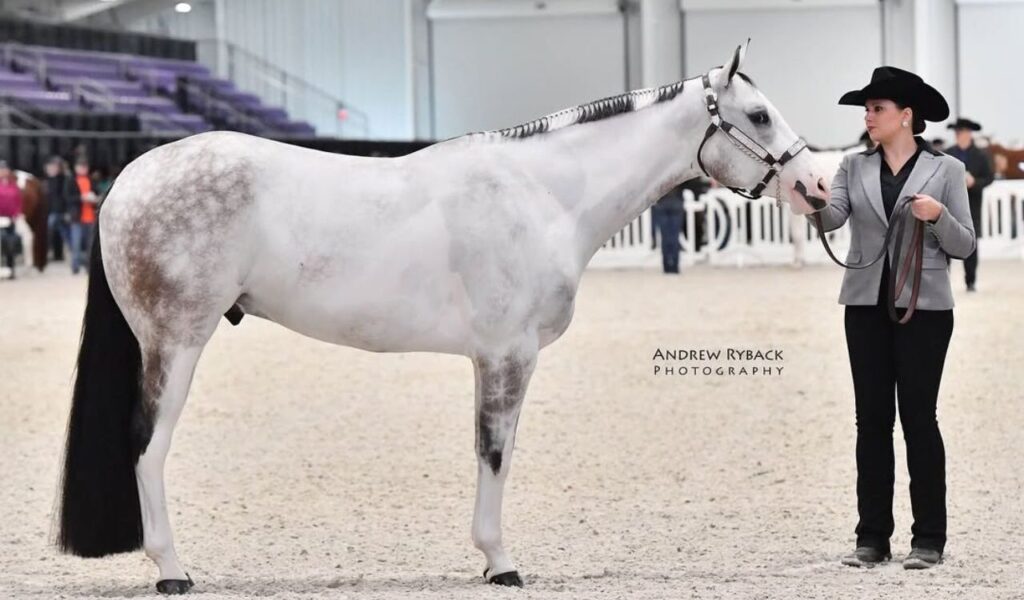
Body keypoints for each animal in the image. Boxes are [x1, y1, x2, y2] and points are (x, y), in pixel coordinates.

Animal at [55, 42, 832, 594]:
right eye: (759, 115)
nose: (816, 184)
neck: (542, 195)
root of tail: (130, 177)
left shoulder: (496, 359)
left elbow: (493, 450)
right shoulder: (508, 356)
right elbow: (495, 453)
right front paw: (501, 562)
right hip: (177, 342)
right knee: (147, 445)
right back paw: (172, 570)